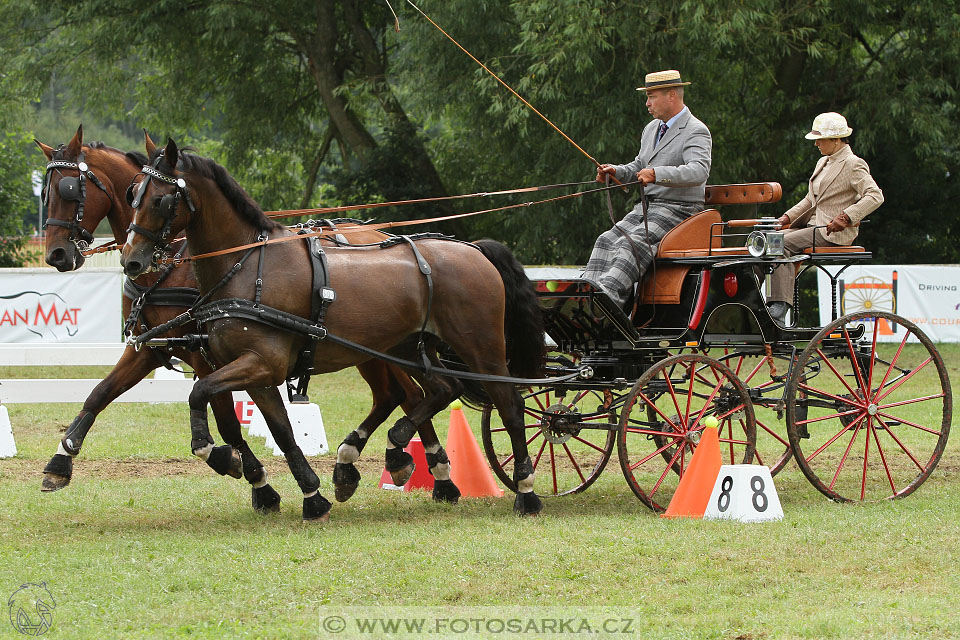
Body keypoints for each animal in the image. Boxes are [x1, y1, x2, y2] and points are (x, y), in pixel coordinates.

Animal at [36, 127, 454, 512]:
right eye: (45, 192)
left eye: (71, 189)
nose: (56, 254)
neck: (176, 265)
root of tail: (375, 232)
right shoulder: (152, 348)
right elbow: (99, 394)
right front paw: (61, 460)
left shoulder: (206, 357)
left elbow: (226, 422)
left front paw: (248, 475)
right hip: (369, 350)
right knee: (397, 395)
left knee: (411, 394)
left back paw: (432, 473)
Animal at [118, 139, 548, 520]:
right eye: (132, 194)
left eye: (160, 199)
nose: (131, 261)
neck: (246, 265)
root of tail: (473, 249)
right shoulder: (256, 373)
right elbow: (282, 432)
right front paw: (312, 497)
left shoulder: (261, 362)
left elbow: (199, 394)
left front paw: (219, 454)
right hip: (405, 348)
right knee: (441, 389)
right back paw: (380, 453)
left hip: (481, 349)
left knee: (509, 407)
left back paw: (525, 492)